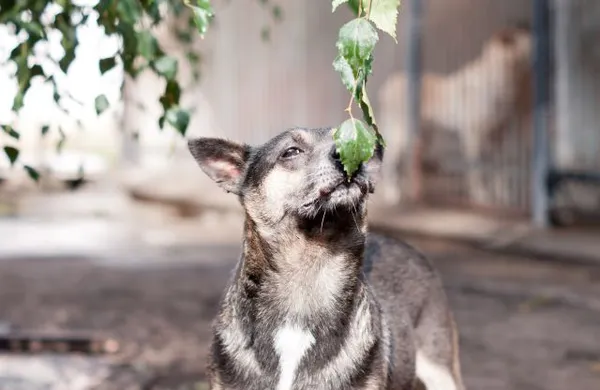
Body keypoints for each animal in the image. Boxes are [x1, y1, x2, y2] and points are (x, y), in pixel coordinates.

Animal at [378, 25, 532, 204]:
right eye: (528, 37)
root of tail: (387, 86)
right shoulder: (474, 136)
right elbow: (477, 169)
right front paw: (481, 194)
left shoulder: (497, 136)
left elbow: (497, 166)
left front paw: (502, 194)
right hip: (400, 134)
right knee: (390, 162)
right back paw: (392, 194)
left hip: (422, 136)